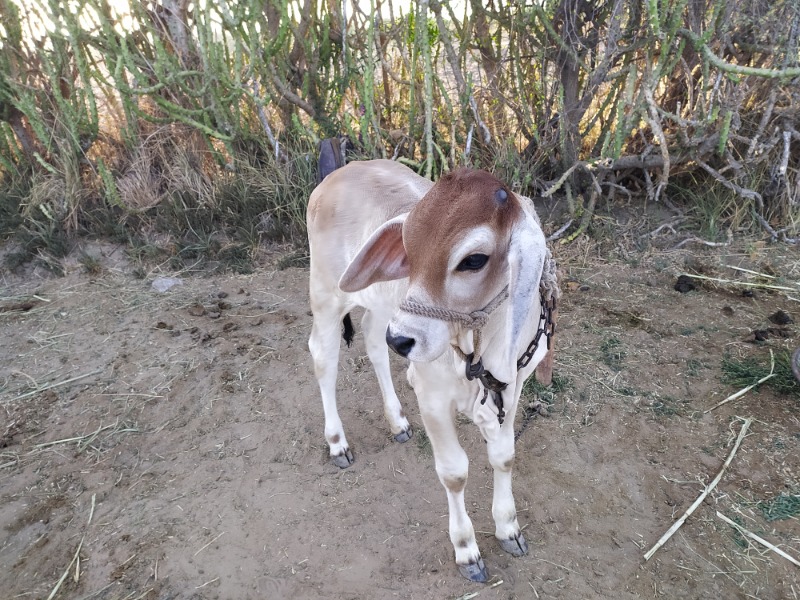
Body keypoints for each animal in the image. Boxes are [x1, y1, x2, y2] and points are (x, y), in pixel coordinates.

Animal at [306, 159, 556, 580]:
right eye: (409, 249)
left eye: (474, 260)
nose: (402, 339)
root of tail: (340, 172)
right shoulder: (433, 397)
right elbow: (454, 472)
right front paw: (466, 549)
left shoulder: (512, 387)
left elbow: (504, 456)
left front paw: (508, 528)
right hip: (326, 295)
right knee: (324, 358)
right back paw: (337, 441)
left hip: (380, 310)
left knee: (374, 343)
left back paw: (397, 421)